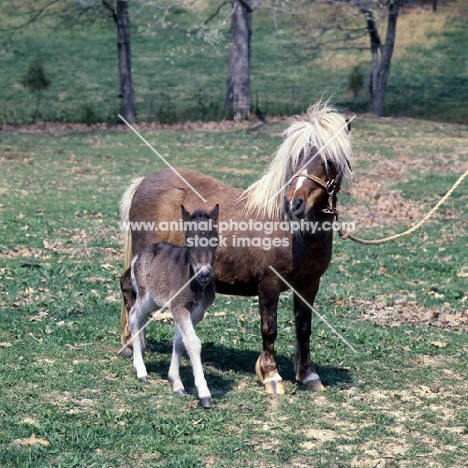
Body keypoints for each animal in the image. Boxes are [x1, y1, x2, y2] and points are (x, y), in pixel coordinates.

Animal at [122, 206, 221, 410]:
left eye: (215, 239)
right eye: (189, 239)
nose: (204, 273)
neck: (196, 284)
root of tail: (137, 256)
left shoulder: (196, 312)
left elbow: (180, 341)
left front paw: (176, 383)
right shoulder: (179, 306)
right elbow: (193, 342)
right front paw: (204, 394)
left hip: (154, 301)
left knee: (141, 319)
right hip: (145, 296)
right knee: (134, 317)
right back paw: (141, 370)